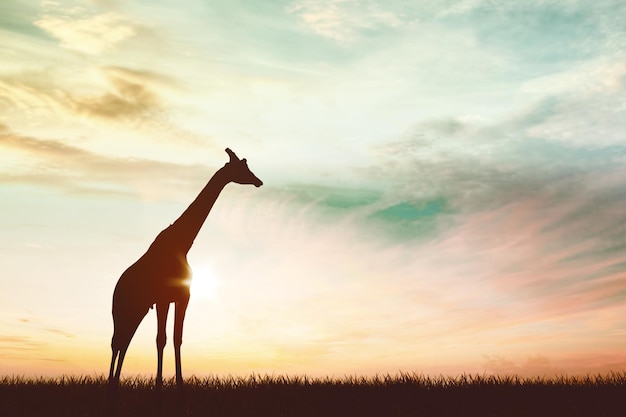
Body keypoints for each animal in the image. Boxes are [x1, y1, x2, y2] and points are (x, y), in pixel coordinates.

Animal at [107, 148, 260, 386]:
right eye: (241, 167)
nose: (258, 181)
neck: (181, 244)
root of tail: (115, 289)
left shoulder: (182, 296)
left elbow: (176, 338)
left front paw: (178, 383)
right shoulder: (162, 298)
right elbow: (161, 339)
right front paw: (159, 384)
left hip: (137, 309)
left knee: (124, 341)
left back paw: (114, 383)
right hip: (124, 308)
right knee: (117, 342)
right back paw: (110, 383)